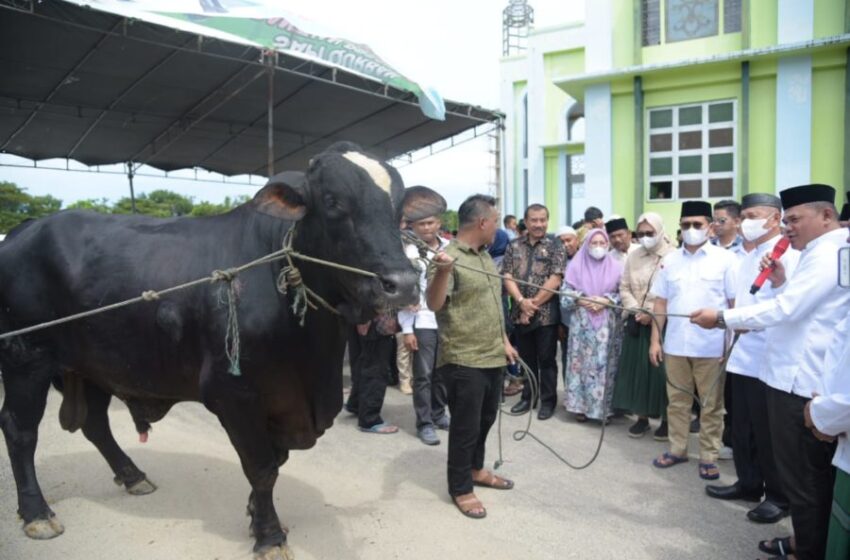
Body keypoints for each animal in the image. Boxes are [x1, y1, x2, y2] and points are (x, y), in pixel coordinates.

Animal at [0, 141, 420, 556]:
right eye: (333, 201)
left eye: (399, 211)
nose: (401, 284)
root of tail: (23, 229)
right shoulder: (233, 394)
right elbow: (262, 467)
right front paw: (269, 535)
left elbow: (277, 460)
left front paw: (255, 514)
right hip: (26, 360)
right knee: (20, 430)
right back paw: (37, 513)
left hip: (93, 365)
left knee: (94, 423)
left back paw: (132, 475)